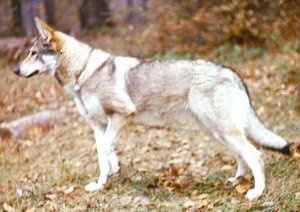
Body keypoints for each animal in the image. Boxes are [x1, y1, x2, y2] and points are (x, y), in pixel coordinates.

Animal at [14, 17, 290, 200]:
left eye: (33, 53)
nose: (15, 71)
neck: (83, 72)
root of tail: (231, 71)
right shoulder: (99, 126)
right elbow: (105, 153)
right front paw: (104, 181)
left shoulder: (122, 116)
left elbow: (104, 150)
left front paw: (109, 174)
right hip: (217, 133)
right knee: (242, 157)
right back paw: (236, 181)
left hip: (223, 131)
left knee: (255, 155)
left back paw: (256, 192)